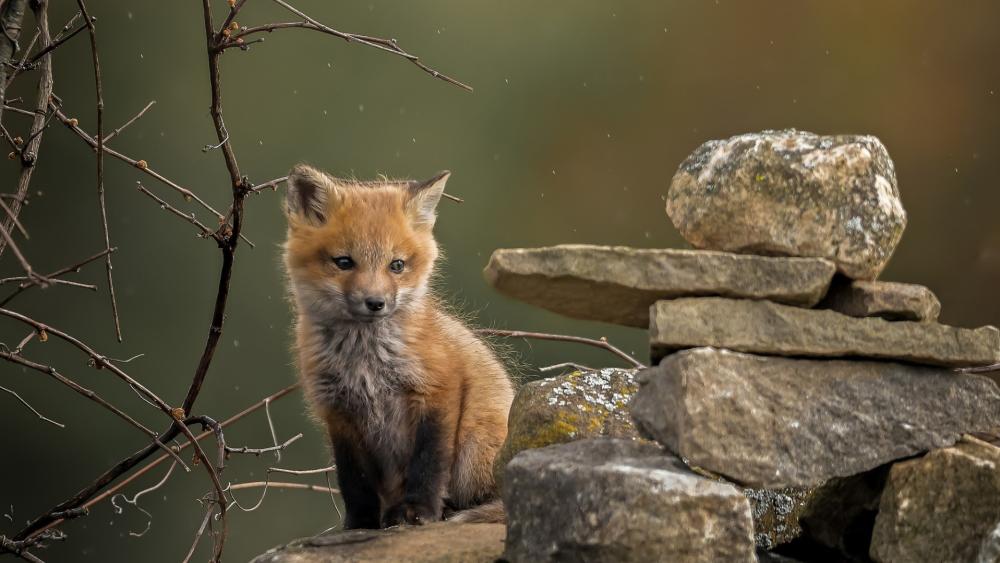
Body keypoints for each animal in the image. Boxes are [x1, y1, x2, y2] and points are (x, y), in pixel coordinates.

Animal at [282, 164, 514, 529]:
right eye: (344, 262)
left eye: (397, 265)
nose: (375, 303)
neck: (364, 362)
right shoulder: (338, 412)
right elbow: (354, 481)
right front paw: (360, 524)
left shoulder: (437, 389)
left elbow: (428, 462)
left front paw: (419, 510)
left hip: (474, 448)